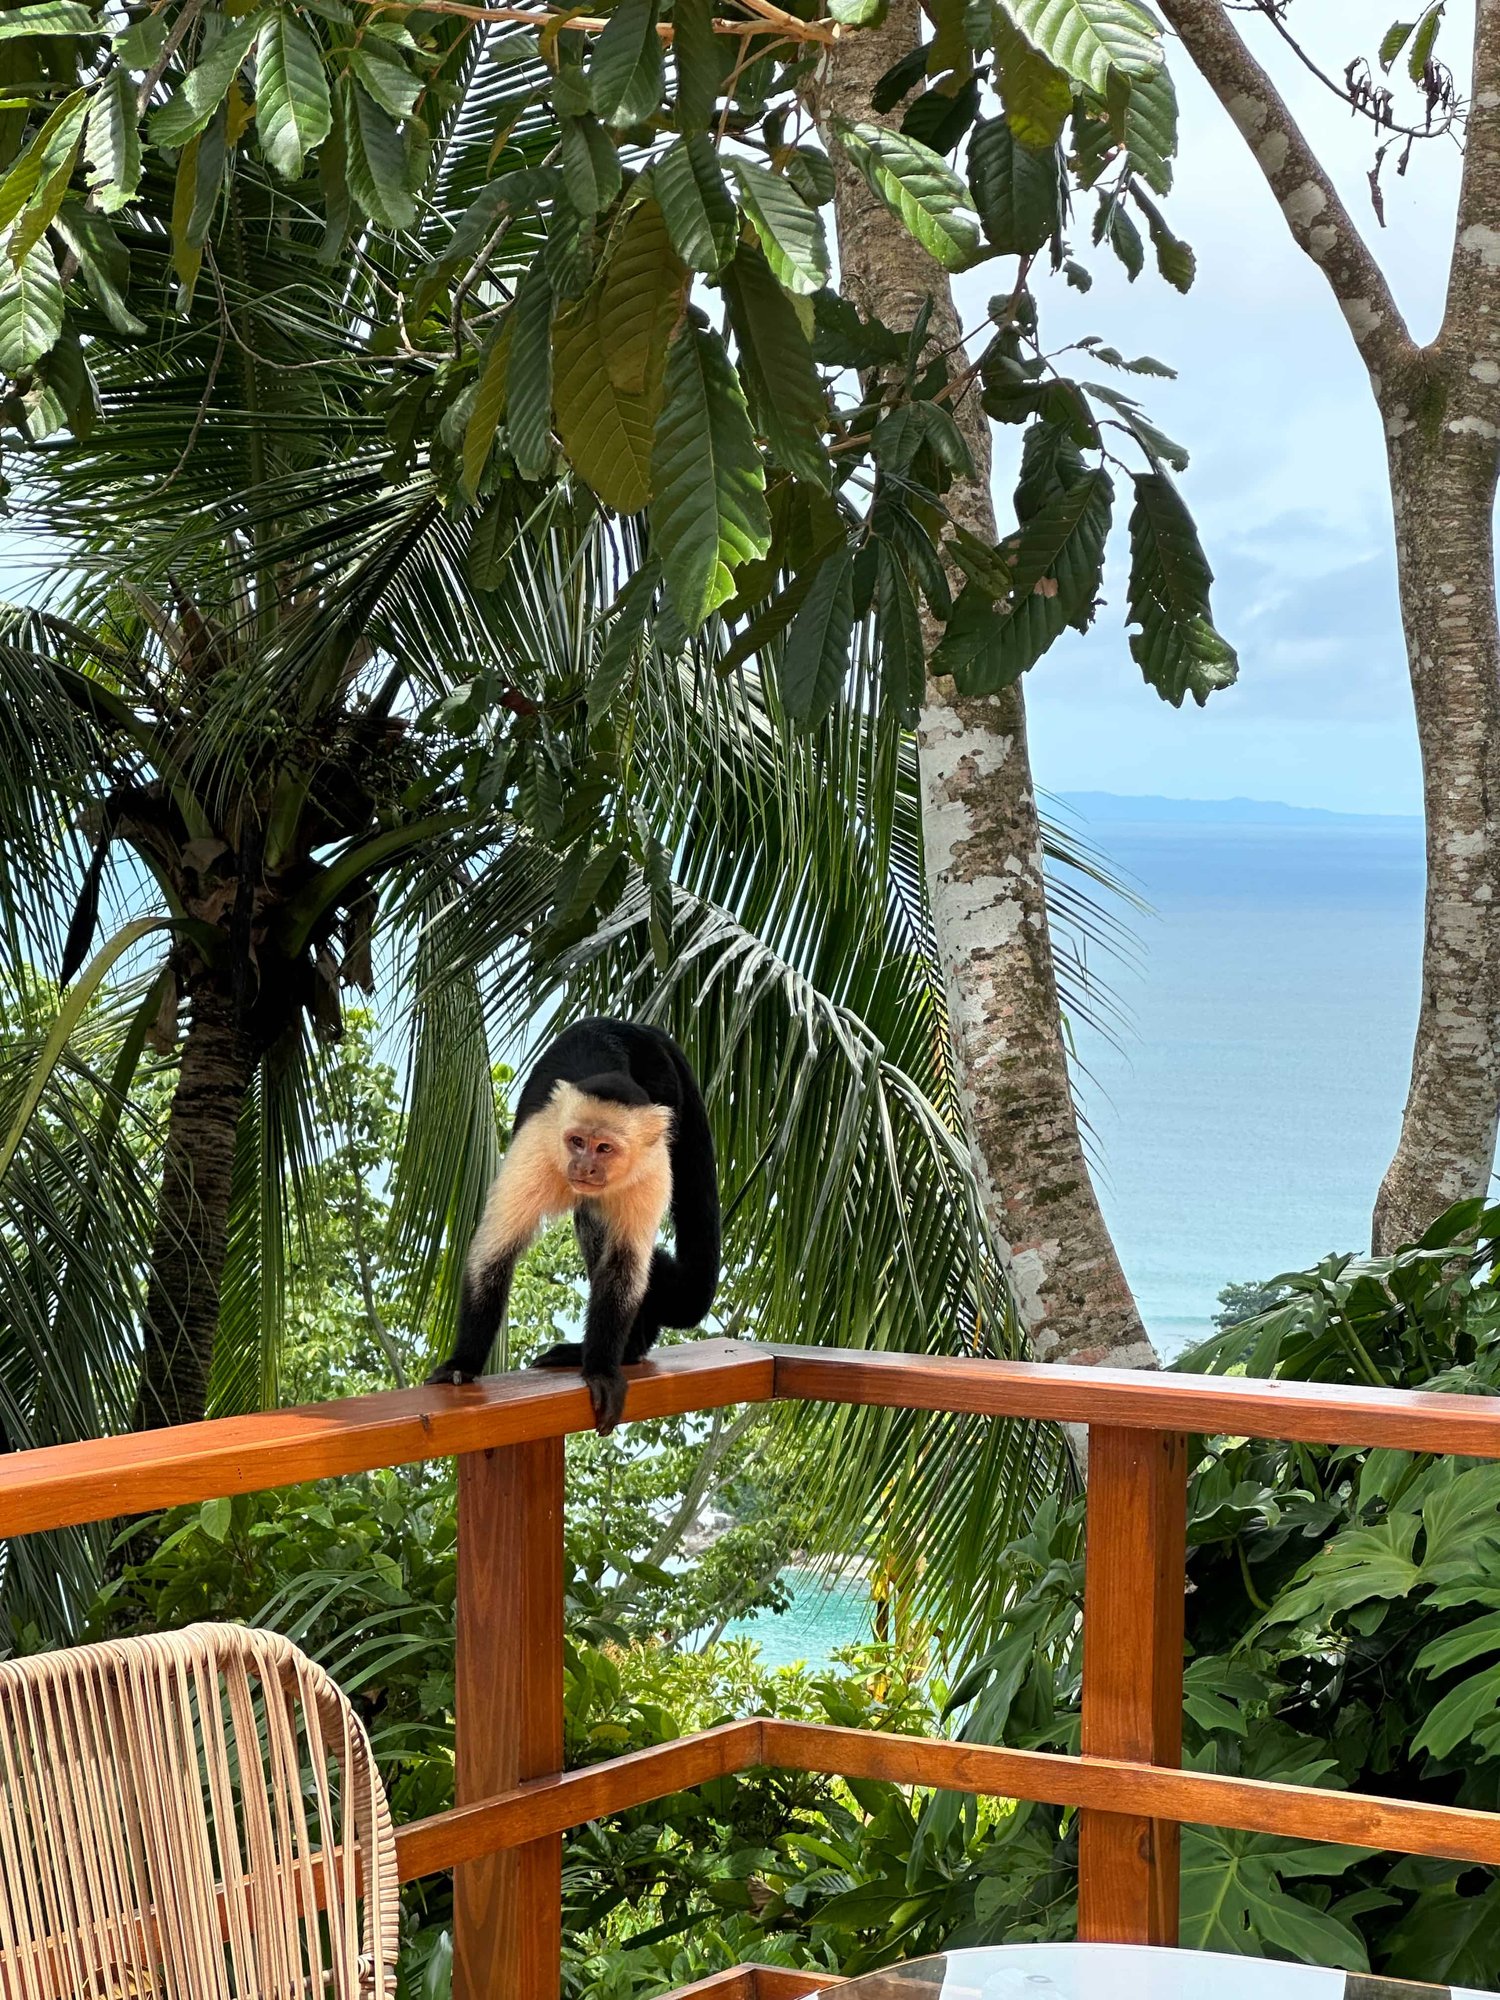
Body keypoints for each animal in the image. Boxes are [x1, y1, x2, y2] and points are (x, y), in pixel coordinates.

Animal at [425, 1017, 720, 1435]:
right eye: (577, 1141)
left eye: (604, 1148)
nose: (583, 1168)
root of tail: (633, 1026)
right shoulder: (536, 1150)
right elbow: (495, 1253)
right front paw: (462, 1364)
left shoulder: (651, 1168)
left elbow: (623, 1266)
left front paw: (601, 1370)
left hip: (664, 1085)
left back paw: (627, 1352)